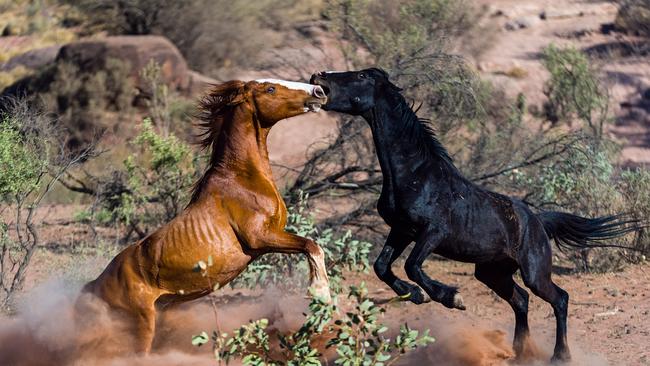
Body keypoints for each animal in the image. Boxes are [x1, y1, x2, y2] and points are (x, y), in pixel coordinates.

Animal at [82, 78, 330, 354]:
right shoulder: (260, 238)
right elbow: (312, 246)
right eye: (270, 89)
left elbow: (313, 247)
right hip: (141, 324)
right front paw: (321, 299)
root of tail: (96, 285)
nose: (319, 91)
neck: (242, 178)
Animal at [310, 68, 636, 364]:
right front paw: (416, 295)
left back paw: (560, 355)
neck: (416, 175)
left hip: (533, 272)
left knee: (559, 299)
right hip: (492, 273)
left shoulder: (433, 233)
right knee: (521, 300)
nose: (318, 77)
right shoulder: (401, 230)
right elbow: (382, 266)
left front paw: (452, 298)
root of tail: (538, 222)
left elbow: (413, 266)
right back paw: (519, 353)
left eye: (361, 76)